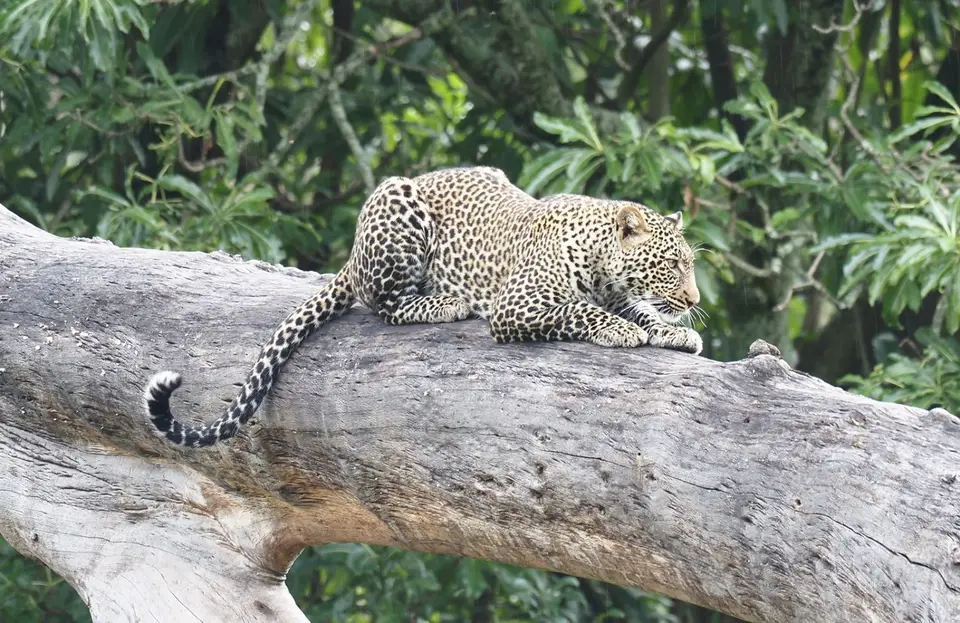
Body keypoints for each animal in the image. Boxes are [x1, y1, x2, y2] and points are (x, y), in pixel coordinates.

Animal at [144, 166, 703, 448]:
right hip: (399, 216)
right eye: (673, 264)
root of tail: (353, 251)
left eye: (688, 263)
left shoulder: (619, 293)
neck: (603, 260)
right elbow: (577, 310)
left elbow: (642, 311)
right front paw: (619, 329)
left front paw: (677, 332)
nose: (695, 299)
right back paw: (445, 304)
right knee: (385, 305)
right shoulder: (517, 305)